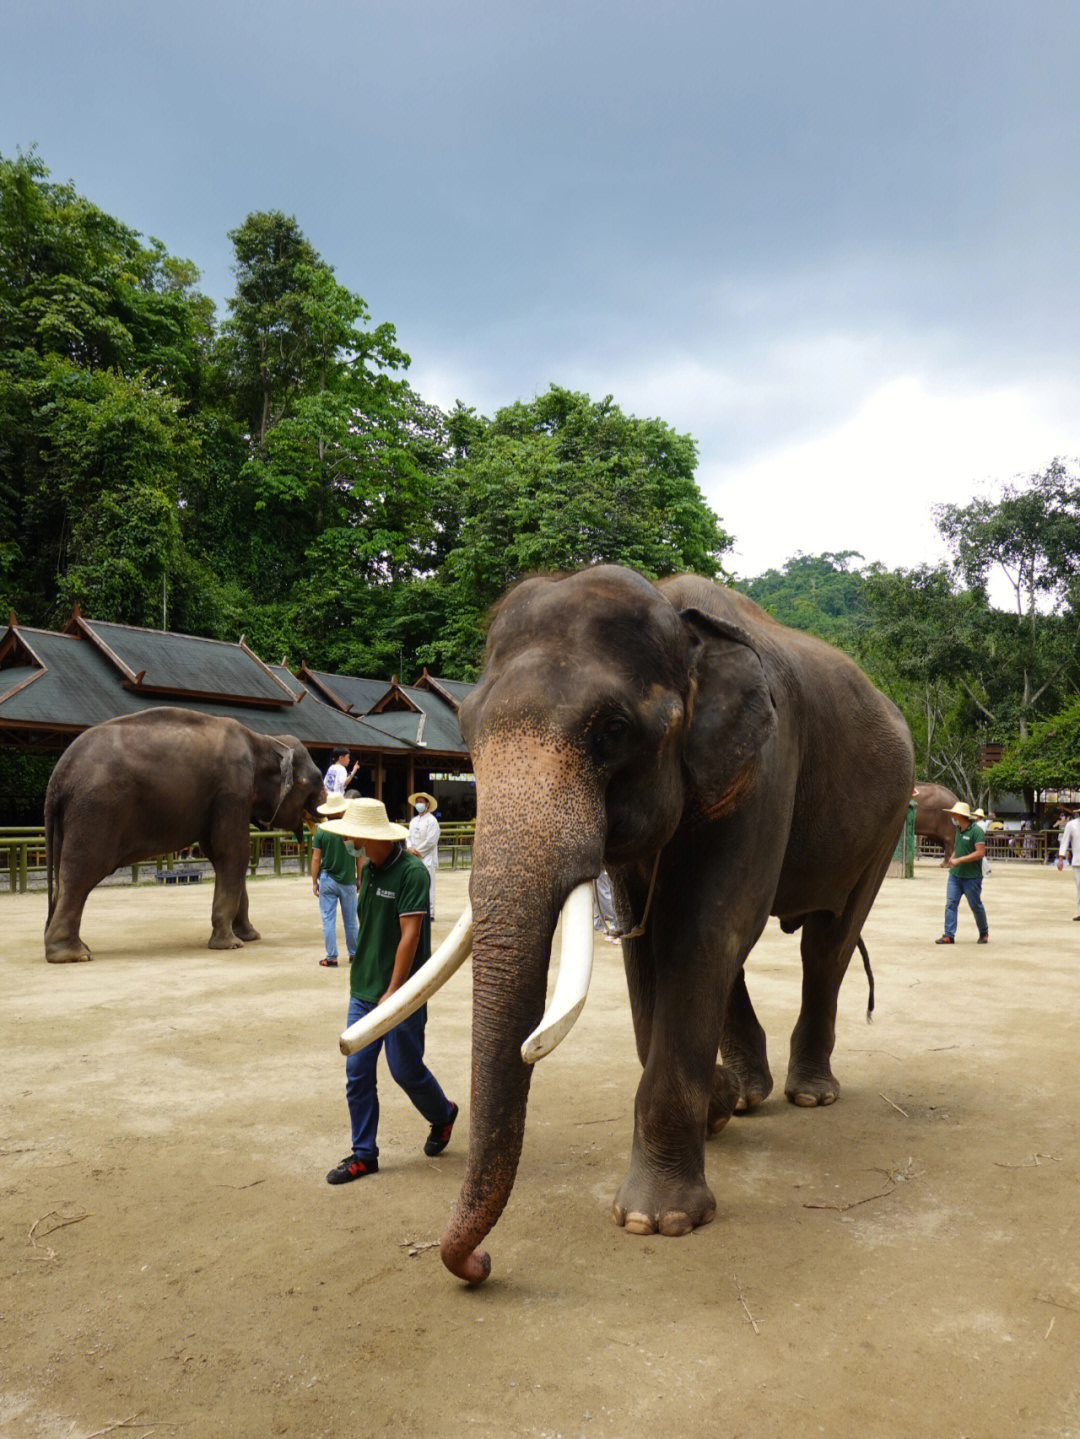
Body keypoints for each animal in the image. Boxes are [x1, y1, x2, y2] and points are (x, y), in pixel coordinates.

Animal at [44, 702, 323, 961]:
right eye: (317, 780)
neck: (262, 739)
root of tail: (58, 775)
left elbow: (223, 854)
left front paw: (250, 936)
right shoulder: (233, 788)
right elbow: (232, 852)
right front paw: (231, 944)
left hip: (69, 818)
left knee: (64, 873)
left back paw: (75, 948)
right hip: (96, 811)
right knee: (83, 870)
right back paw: (72, 955)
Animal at [343, 561, 914, 1283]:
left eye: (612, 729)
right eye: (466, 728)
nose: (479, 1260)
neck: (681, 624)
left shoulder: (768, 763)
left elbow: (706, 929)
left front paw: (656, 1220)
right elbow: (646, 946)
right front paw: (715, 1110)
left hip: (890, 813)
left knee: (827, 943)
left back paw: (811, 1095)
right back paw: (747, 1096)